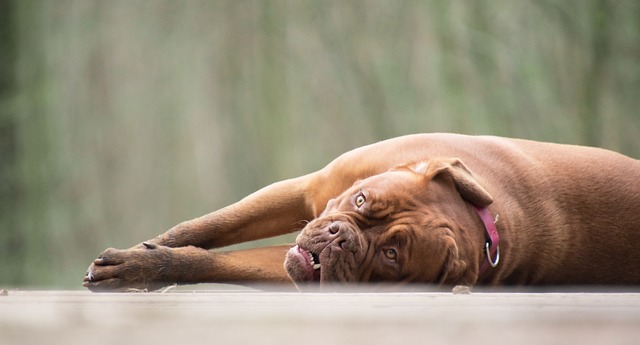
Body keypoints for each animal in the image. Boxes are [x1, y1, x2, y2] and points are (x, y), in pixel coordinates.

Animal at [82, 132, 640, 290]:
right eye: (361, 200)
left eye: (392, 255)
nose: (340, 237)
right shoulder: (304, 191)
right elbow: (210, 226)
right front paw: (146, 255)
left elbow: (217, 258)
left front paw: (144, 267)